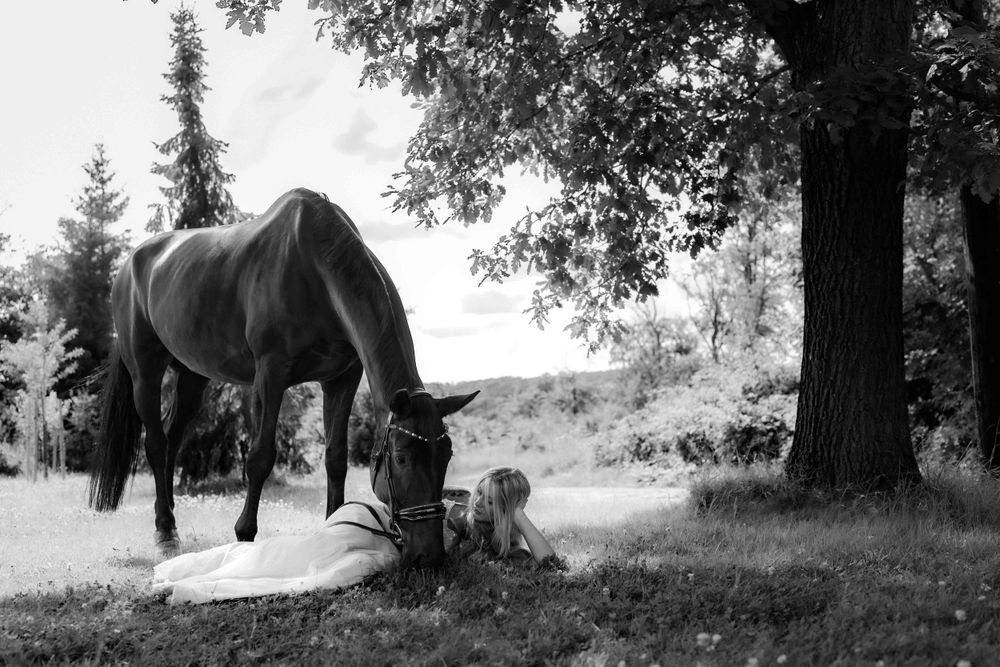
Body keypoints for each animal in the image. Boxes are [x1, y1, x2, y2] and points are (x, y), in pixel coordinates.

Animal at [88, 188, 477, 568]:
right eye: (400, 458)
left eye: (446, 456)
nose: (429, 556)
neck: (315, 269)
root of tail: (130, 265)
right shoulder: (271, 373)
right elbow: (260, 456)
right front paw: (244, 534)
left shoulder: (342, 378)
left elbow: (335, 457)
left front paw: (334, 528)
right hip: (145, 373)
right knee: (155, 444)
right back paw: (165, 532)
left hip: (192, 377)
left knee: (172, 438)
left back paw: (170, 518)